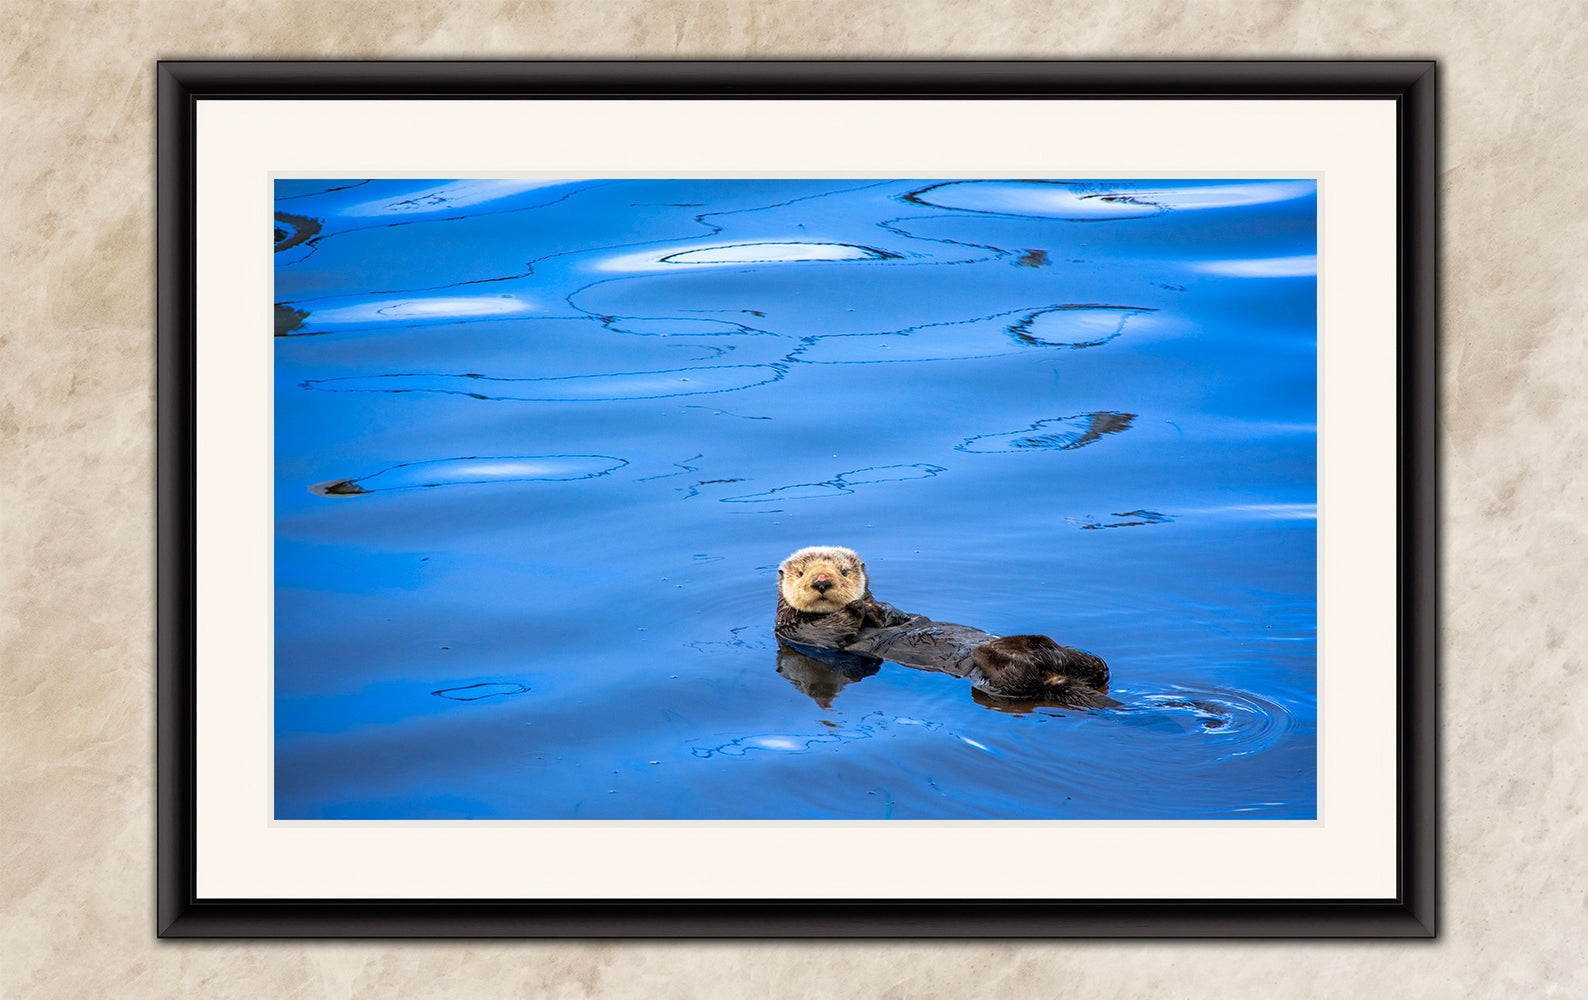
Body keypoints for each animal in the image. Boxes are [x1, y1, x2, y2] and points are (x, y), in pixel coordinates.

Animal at [774, 545, 1117, 708]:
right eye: (802, 573)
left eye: (843, 571)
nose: (822, 581)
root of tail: (1056, 679)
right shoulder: (793, 630)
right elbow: (830, 630)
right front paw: (857, 608)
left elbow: (899, 616)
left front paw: (876, 609)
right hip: (998, 686)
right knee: (1018, 677)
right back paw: (998, 650)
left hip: (1070, 665)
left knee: (1097, 666)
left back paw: (1024, 643)